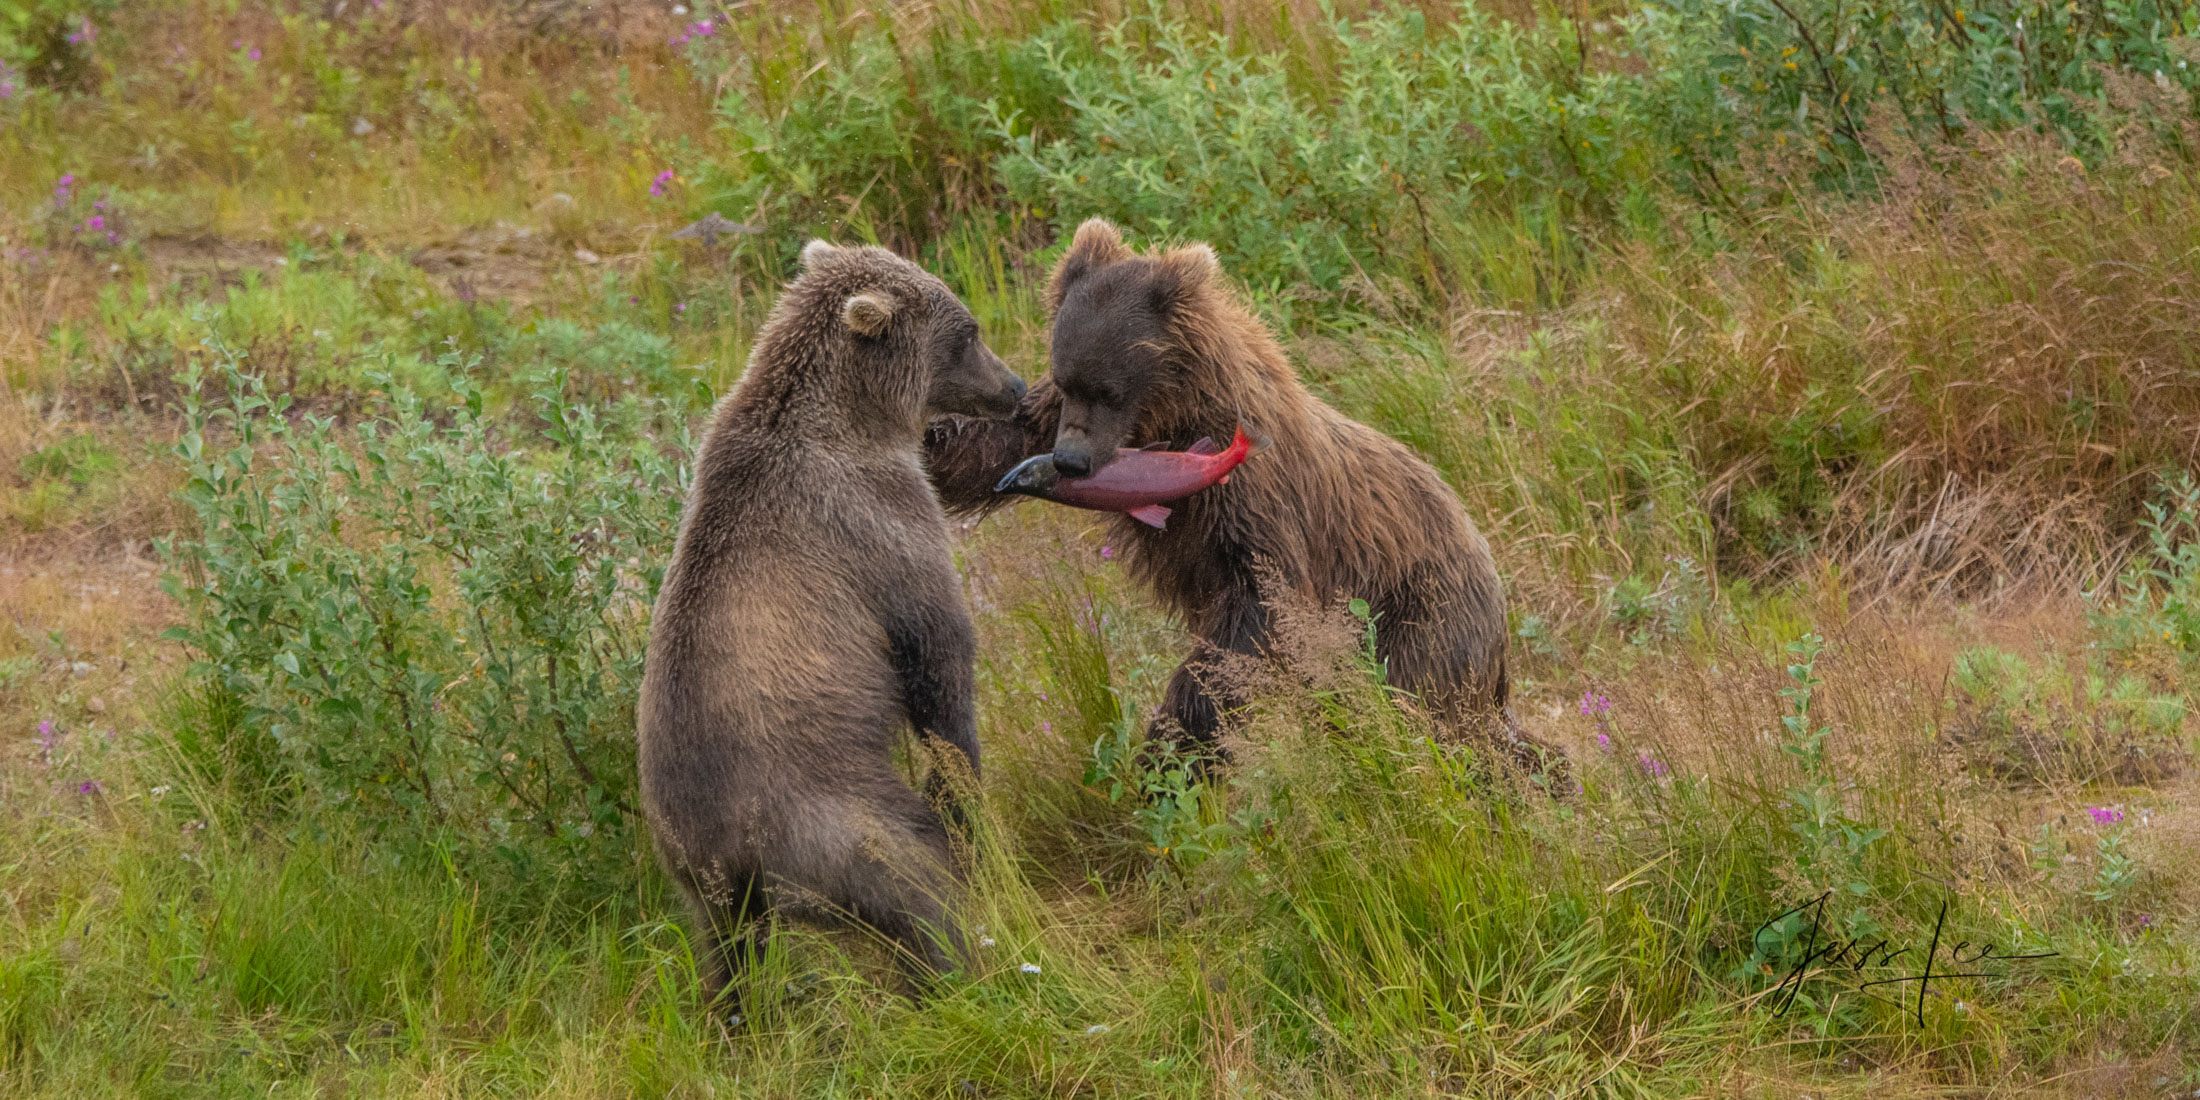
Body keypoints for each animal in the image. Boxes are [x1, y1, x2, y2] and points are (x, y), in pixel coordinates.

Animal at [642, 236, 1029, 1016]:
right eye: (968, 332)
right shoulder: (875, 521)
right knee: (912, 876)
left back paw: (739, 1015)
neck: (855, 419)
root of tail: (730, 849)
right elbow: (939, 653)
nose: (1017, 386)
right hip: (830, 816)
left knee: (729, 950)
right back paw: (957, 969)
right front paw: (966, 791)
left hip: (695, 876)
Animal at [928, 218, 1566, 778]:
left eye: (1109, 388)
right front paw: (929, 435)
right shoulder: (1051, 425)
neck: (1172, 417)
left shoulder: (1256, 498)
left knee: (1421, 709)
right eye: (1066, 379)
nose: (1070, 461)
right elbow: (991, 442)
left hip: (1417, 613)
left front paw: (1172, 743)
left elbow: (1257, 608)